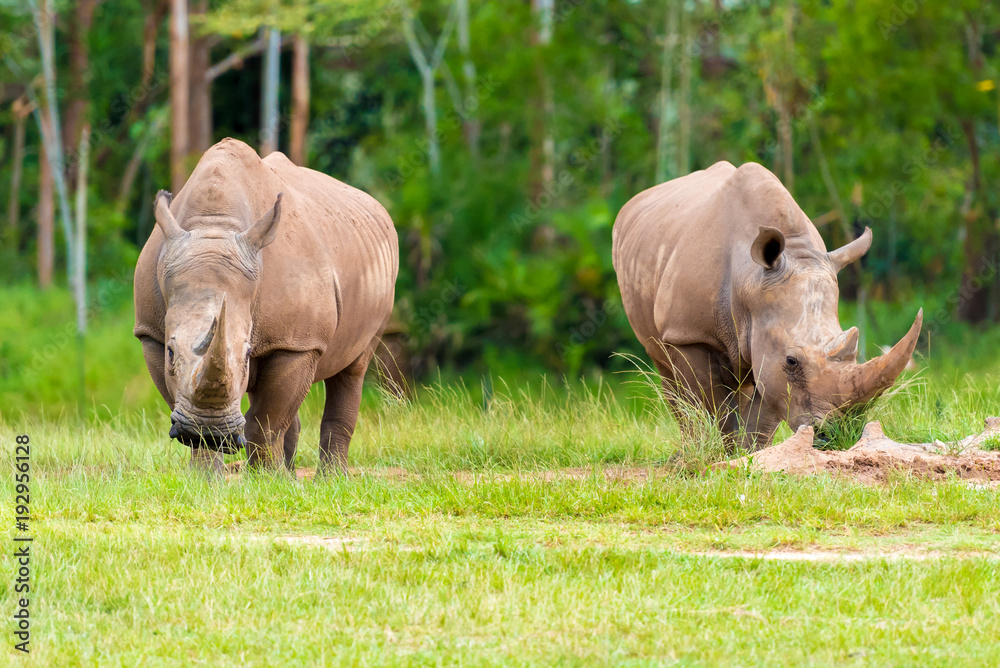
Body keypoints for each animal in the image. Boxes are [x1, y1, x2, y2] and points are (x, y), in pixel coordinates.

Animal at [134, 138, 398, 473]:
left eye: (248, 354)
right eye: (170, 351)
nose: (210, 431)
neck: (214, 226)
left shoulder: (298, 343)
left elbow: (266, 420)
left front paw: (266, 480)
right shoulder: (151, 332)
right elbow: (180, 392)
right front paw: (204, 474)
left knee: (353, 368)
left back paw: (331, 479)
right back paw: (293, 474)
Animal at [612, 161, 921, 450]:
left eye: (855, 353)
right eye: (792, 361)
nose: (835, 435)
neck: (748, 280)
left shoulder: (765, 338)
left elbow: (765, 411)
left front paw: (749, 454)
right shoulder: (689, 334)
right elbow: (710, 402)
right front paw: (720, 453)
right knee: (667, 369)